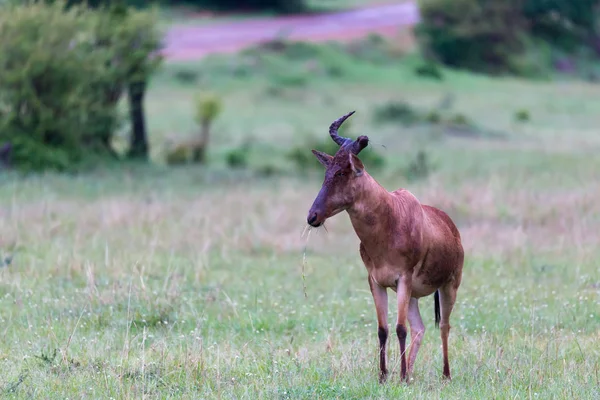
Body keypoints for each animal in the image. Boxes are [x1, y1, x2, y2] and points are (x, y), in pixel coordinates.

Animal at [304, 111, 464, 382]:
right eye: (327, 172)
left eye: (343, 172)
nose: (312, 217)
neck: (390, 217)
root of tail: (451, 227)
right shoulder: (376, 282)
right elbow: (383, 329)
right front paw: (384, 375)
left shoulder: (403, 279)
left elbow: (399, 328)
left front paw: (399, 376)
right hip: (413, 295)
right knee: (419, 328)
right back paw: (410, 373)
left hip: (448, 285)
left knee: (443, 326)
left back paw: (445, 374)